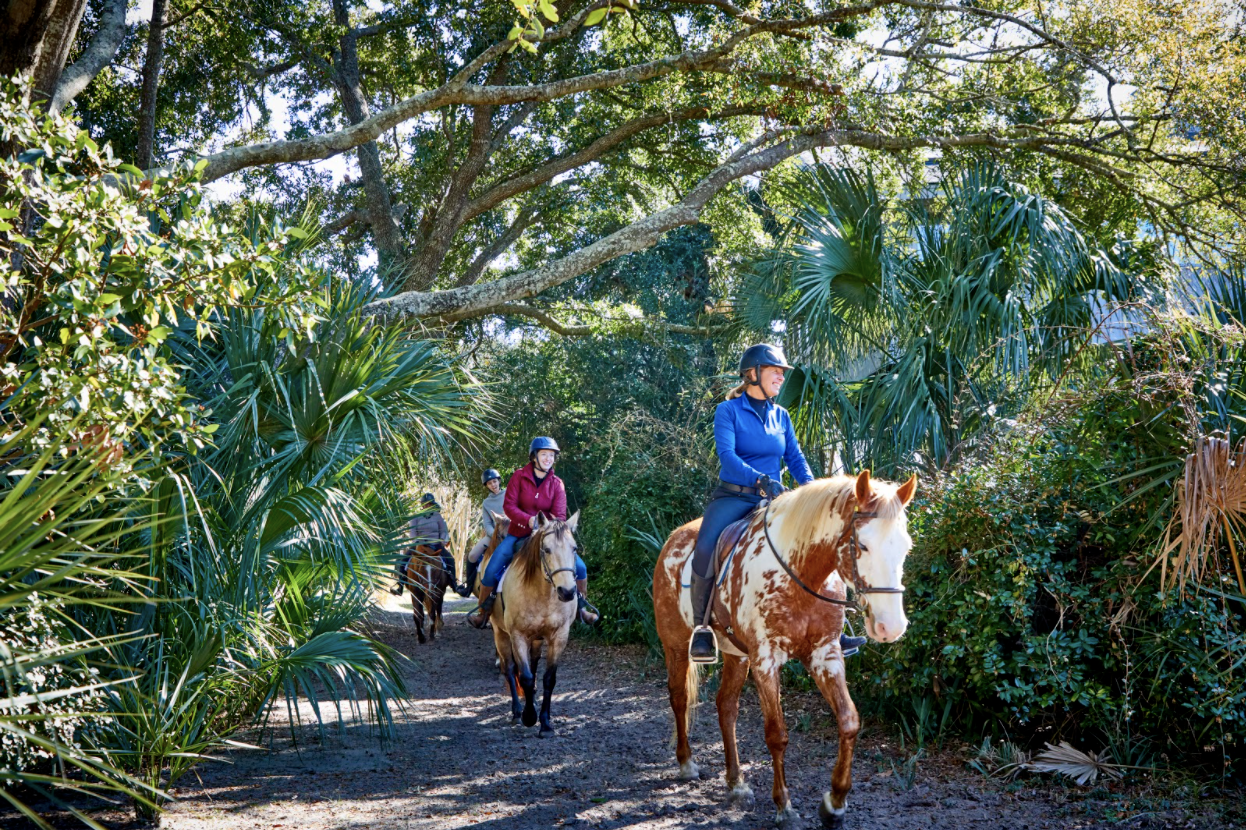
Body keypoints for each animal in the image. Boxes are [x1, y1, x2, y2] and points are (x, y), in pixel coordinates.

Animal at [487, 511, 581, 736]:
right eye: (546, 550)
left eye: (574, 549)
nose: (567, 592)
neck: (542, 593)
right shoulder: (517, 636)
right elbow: (526, 677)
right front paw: (529, 716)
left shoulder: (559, 636)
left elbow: (548, 678)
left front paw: (545, 723)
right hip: (500, 634)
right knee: (510, 669)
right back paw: (516, 712)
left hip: (537, 639)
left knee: (534, 663)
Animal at [652, 470, 916, 830]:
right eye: (862, 545)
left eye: (905, 547)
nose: (891, 626)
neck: (800, 573)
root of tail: (673, 538)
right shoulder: (766, 660)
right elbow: (776, 734)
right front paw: (784, 807)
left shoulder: (825, 655)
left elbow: (849, 720)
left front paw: (834, 803)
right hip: (677, 646)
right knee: (679, 698)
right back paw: (686, 763)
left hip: (737, 655)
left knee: (726, 707)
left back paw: (736, 782)